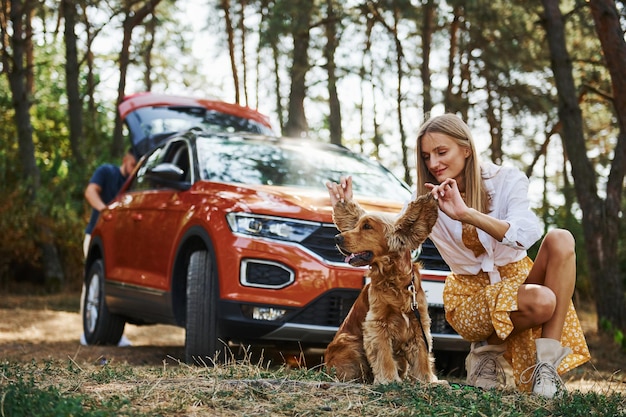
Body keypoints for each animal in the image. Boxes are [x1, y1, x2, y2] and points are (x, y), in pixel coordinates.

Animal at [324, 194, 436, 384]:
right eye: (356, 226)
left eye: (367, 226)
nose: (337, 238)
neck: (394, 280)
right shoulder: (377, 324)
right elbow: (383, 356)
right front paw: (388, 380)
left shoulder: (419, 323)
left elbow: (422, 357)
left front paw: (426, 381)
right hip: (350, 342)